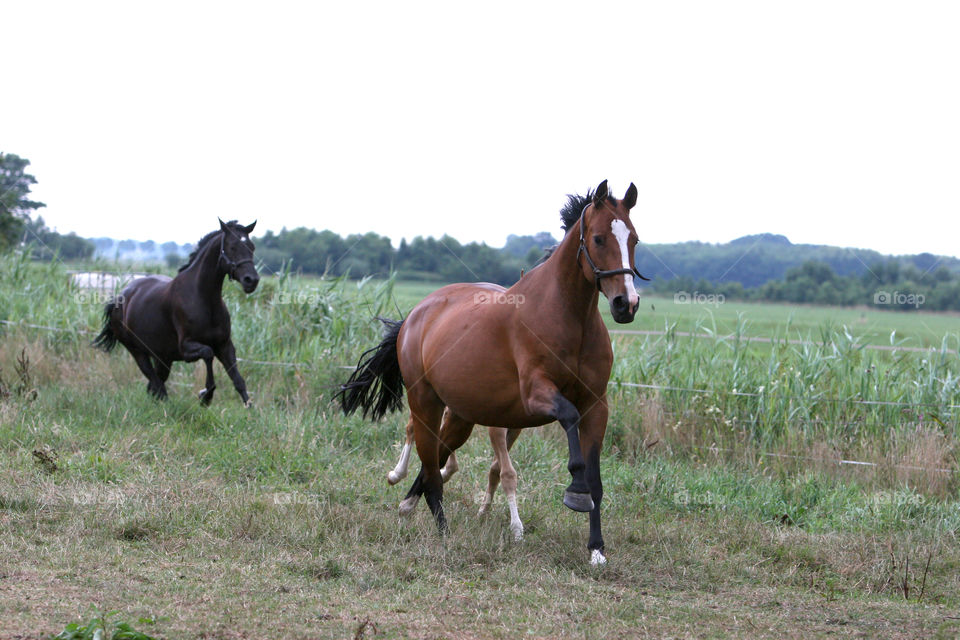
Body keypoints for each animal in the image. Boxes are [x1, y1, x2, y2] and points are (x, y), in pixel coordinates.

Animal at [93, 219, 260, 406]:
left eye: (251, 247)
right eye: (232, 246)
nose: (251, 280)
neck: (204, 299)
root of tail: (119, 298)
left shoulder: (224, 345)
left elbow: (238, 380)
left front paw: (249, 408)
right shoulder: (187, 348)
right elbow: (208, 354)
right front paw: (205, 395)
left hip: (163, 358)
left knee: (154, 386)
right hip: (138, 353)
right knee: (157, 384)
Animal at [338, 180, 643, 565]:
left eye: (634, 240)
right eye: (600, 238)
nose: (626, 304)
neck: (569, 319)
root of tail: (416, 314)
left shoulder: (596, 405)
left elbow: (596, 479)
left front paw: (597, 550)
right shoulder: (536, 394)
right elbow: (569, 421)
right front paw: (575, 491)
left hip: (461, 416)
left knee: (436, 459)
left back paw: (409, 506)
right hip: (425, 403)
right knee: (430, 466)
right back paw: (443, 534)